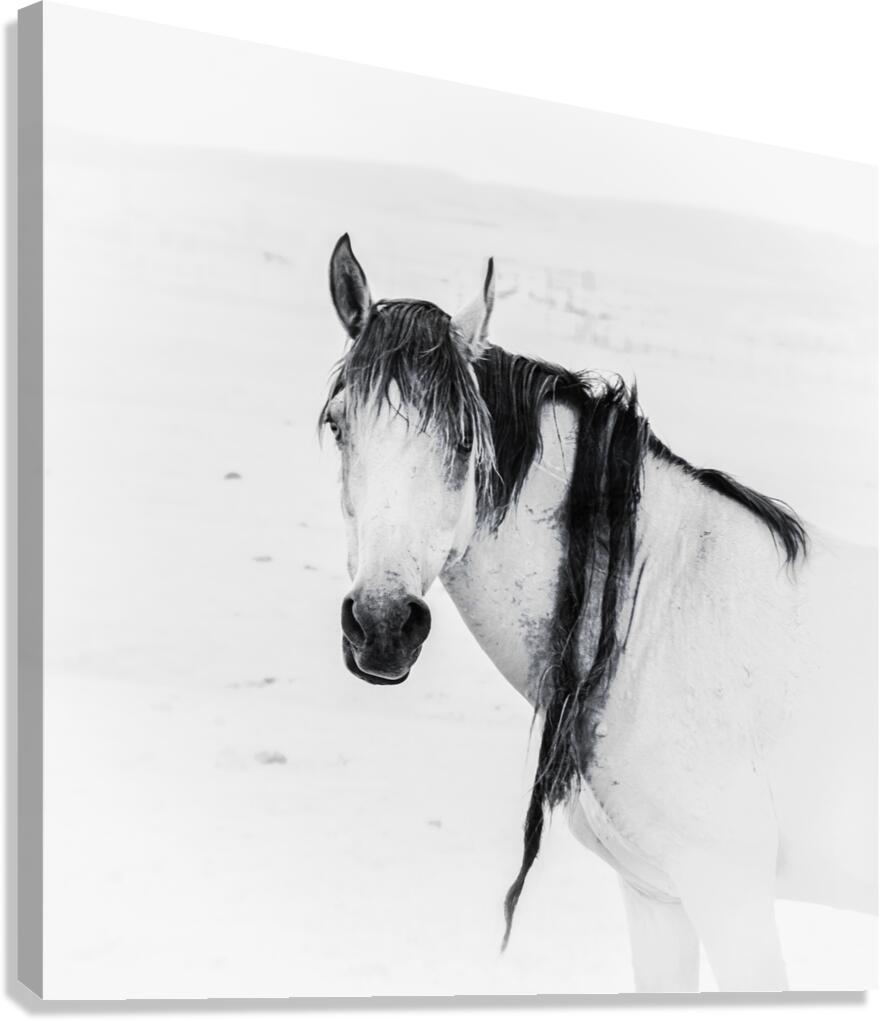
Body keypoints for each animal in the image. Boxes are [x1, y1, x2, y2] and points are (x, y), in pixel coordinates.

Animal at [320, 233, 877, 993]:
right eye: (337, 426)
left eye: (466, 441)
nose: (382, 625)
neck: (657, 616)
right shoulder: (656, 896)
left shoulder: (730, 894)